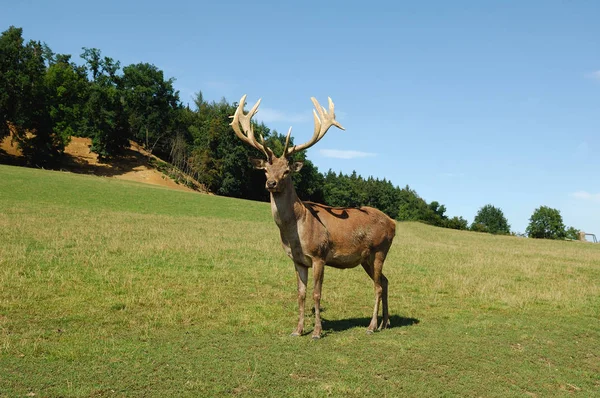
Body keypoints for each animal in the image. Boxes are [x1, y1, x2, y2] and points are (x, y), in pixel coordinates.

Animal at [232, 95, 396, 338]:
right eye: (265, 170)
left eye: (287, 171)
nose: (271, 183)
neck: (296, 231)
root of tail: (394, 224)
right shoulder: (298, 260)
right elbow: (301, 294)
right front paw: (298, 330)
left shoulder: (319, 255)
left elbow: (317, 294)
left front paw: (317, 331)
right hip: (366, 258)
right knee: (384, 281)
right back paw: (386, 322)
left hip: (379, 250)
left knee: (377, 286)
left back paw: (371, 325)